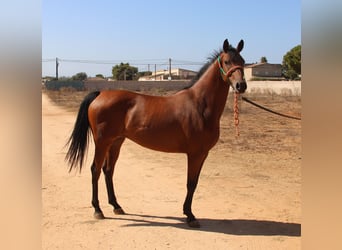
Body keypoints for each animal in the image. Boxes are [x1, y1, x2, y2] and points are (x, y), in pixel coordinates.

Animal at [65, 38, 246, 228]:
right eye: (227, 61)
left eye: (243, 61)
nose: (241, 85)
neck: (199, 105)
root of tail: (100, 94)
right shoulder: (195, 154)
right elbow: (190, 184)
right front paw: (190, 216)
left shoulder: (203, 154)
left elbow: (194, 183)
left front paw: (188, 213)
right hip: (102, 142)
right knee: (95, 170)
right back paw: (98, 210)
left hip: (115, 142)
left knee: (108, 170)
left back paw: (116, 206)